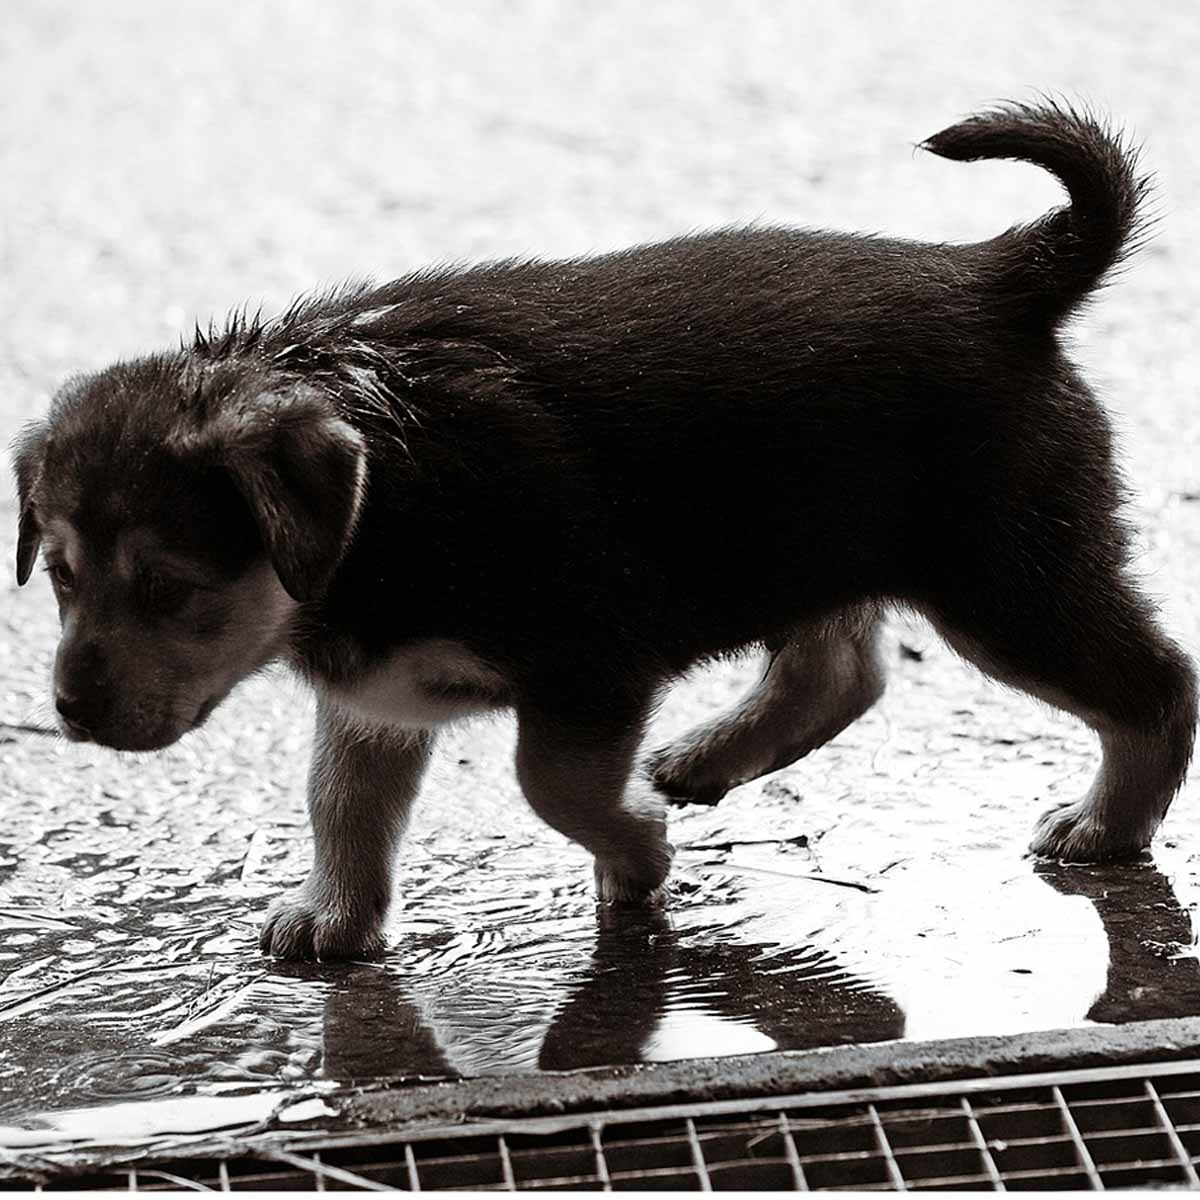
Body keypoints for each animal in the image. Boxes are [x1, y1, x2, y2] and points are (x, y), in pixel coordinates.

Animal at [14, 105, 1195, 964]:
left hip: (1006, 579)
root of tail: (1004, 277)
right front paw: (336, 922)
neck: (383, 498)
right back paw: (710, 758)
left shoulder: (588, 663)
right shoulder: (378, 697)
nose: (69, 714)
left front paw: (636, 857)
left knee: (1156, 683)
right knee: (843, 665)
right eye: (60, 578)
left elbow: (553, 782)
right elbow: (342, 805)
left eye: (170, 588)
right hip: (808, 532)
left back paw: (1108, 826)